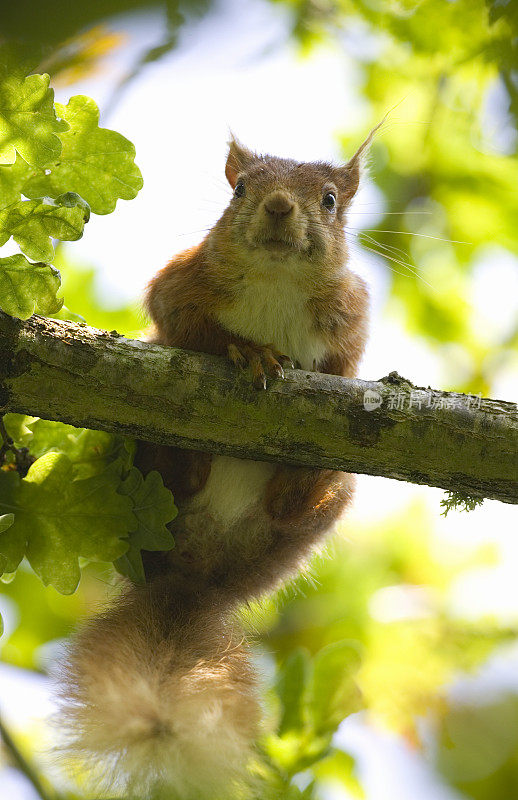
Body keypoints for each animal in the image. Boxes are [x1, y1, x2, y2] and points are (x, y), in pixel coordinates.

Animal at [62, 134, 374, 796]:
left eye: (329, 200)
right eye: (241, 189)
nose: (279, 207)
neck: (276, 281)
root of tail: (196, 579)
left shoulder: (351, 318)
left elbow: (345, 367)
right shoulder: (179, 282)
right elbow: (185, 324)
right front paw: (248, 351)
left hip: (320, 509)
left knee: (297, 505)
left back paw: (300, 484)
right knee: (174, 472)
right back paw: (188, 459)